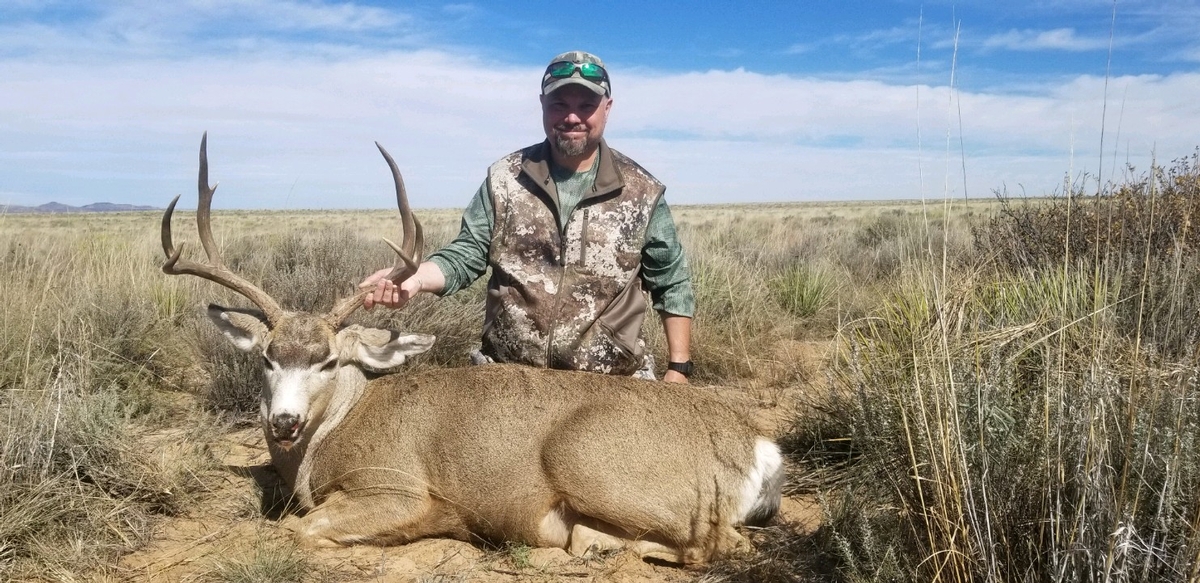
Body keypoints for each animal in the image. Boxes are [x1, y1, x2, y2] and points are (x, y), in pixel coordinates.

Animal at [162, 133, 787, 563]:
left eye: (329, 360)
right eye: (268, 357)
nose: (284, 421)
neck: (336, 430)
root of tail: (760, 446)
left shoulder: (399, 487)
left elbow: (299, 529)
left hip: (591, 460)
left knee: (718, 543)